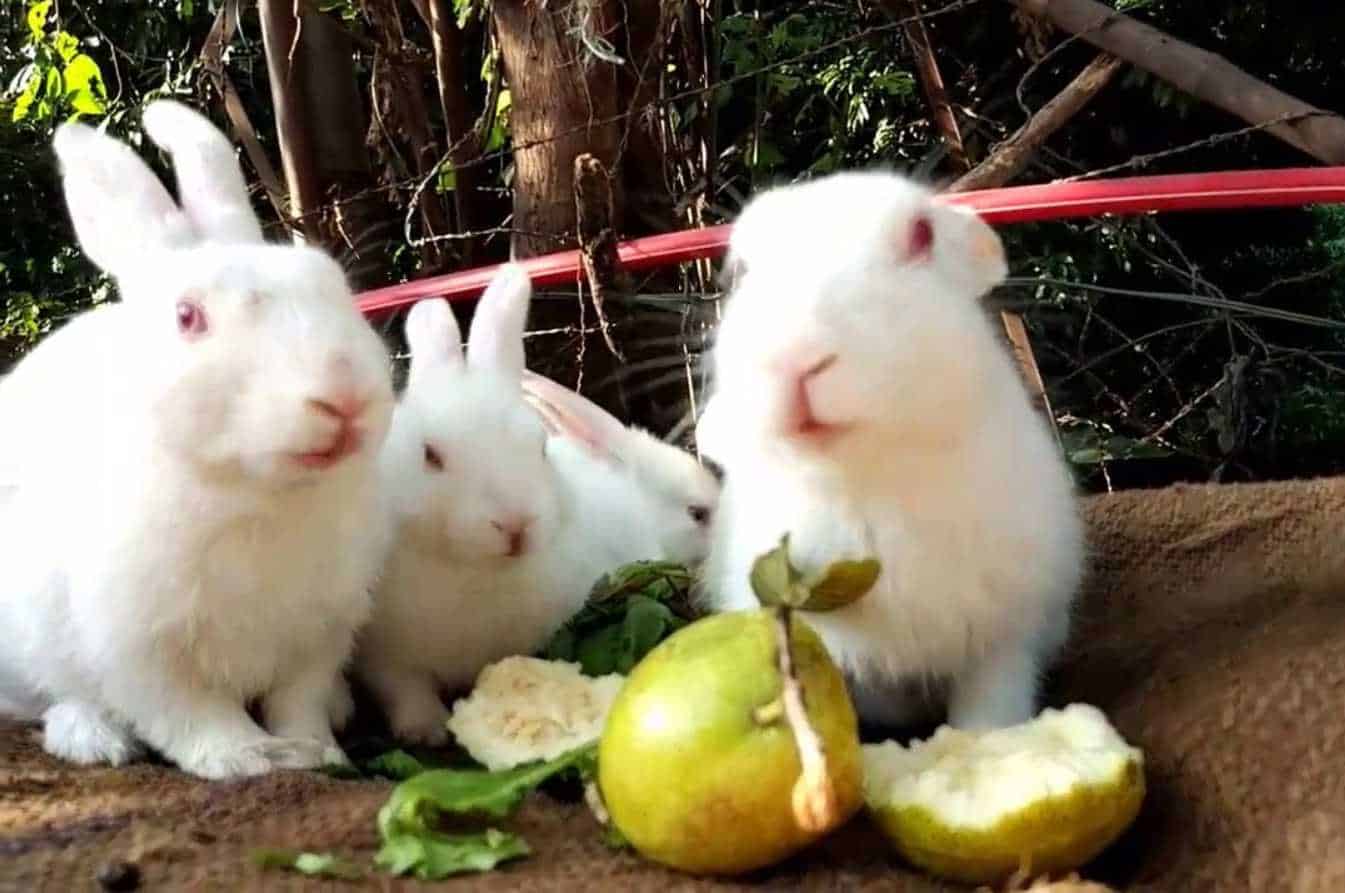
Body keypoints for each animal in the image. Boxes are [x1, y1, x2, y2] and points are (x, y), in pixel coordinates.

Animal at [0, 100, 392, 780]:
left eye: (334, 284)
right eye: (188, 317)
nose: (343, 397)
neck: (257, 497)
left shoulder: (318, 635)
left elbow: (299, 699)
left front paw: (315, 751)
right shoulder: (137, 647)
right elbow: (190, 713)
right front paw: (246, 759)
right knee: (51, 698)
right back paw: (92, 737)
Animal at [694, 170, 1081, 731]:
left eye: (922, 235)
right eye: (739, 270)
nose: (795, 356)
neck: (859, 479)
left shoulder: (1005, 641)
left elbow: (990, 712)